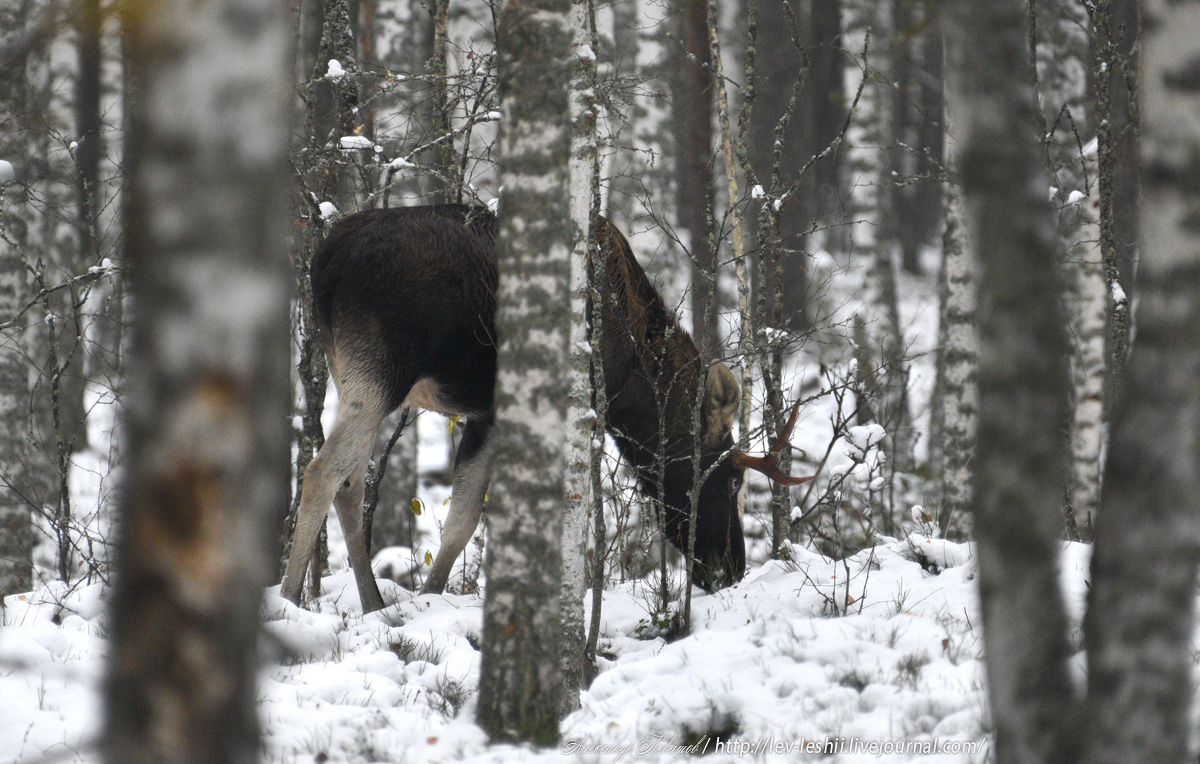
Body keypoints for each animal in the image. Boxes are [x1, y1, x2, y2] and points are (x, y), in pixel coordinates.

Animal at [280, 203, 806, 614]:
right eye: (733, 480)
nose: (731, 568)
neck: (628, 373)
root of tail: (324, 263)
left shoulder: (486, 414)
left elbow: (462, 521)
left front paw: (429, 599)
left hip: (352, 371)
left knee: (350, 484)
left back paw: (372, 604)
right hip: (379, 371)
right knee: (322, 473)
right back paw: (287, 601)